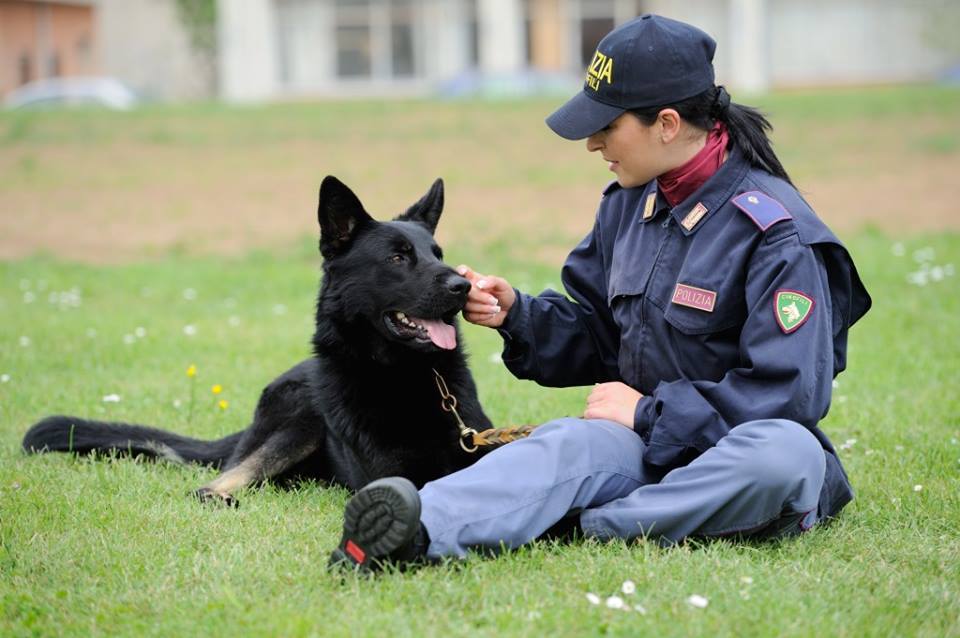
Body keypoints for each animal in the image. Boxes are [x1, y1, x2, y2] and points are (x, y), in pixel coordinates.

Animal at [22, 178, 496, 508]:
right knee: (214, 482)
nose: (462, 287)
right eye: (398, 257)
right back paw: (223, 498)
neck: (406, 375)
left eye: (437, 254)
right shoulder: (397, 472)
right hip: (297, 423)